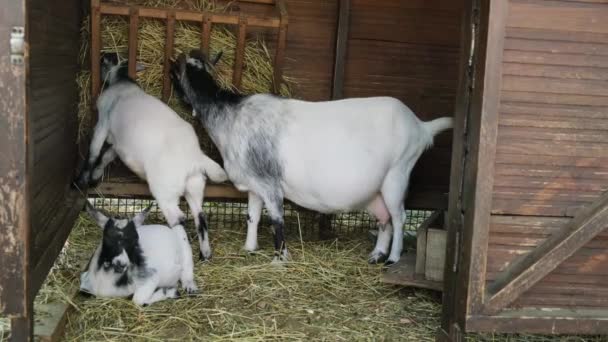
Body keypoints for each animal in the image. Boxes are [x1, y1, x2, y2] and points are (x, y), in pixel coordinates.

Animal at [75, 52, 228, 260]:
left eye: (112, 58)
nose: (103, 56)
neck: (122, 82)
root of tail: (196, 157)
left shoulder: (103, 122)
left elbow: (94, 152)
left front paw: (82, 180)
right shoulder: (118, 144)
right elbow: (106, 156)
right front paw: (96, 176)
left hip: (164, 190)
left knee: (179, 219)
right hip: (194, 186)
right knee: (200, 217)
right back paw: (205, 254)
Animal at [170, 50, 452, 264]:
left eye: (174, 72)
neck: (232, 116)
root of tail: (420, 127)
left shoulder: (270, 184)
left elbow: (277, 220)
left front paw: (279, 258)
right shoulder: (254, 185)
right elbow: (253, 217)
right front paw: (249, 248)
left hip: (397, 175)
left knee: (399, 217)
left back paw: (392, 259)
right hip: (376, 191)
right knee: (385, 220)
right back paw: (376, 254)